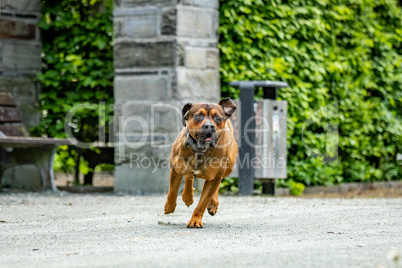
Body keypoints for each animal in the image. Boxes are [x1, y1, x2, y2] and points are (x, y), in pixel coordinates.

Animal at [164, 97, 237, 227]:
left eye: (217, 118)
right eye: (198, 116)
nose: (209, 126)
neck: (201, 150)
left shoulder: (214, 177)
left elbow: (203, 202)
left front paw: (195, 220)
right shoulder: (175, 170)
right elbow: (172, 191)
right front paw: (169, 206)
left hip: (228, 167)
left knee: (217, 182)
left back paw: (212, 203)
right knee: (189, 176)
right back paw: (187, 196)